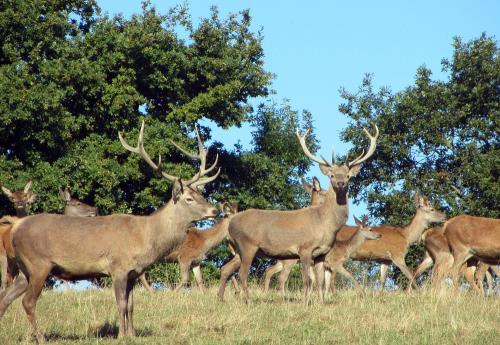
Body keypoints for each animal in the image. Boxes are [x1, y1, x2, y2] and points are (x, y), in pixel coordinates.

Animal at [0, 121, 221, 342]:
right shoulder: (118, 267)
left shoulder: (134, 273)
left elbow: (131, 306)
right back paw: (42, 338)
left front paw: (132, 334)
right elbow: (121, 304)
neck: (145, 238)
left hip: (25, 269)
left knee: (6, 297)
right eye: (189, 199)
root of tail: (15, 228)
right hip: (38, 264)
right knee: (28, 302)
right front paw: (121, 335)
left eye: (200, 194)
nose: (215, 210)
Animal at [217, 122, 376, 302]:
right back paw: (248, 301)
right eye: (332, 175)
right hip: (247, 245)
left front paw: (321, 303)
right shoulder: (305, 249)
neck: (326, 223)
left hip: (240, 250)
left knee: (226, 268)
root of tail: (230, 224)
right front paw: (306, 303)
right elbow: (307, 280)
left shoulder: (321, 254)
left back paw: (220, 298)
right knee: (243, 273)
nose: (341, 183)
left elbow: (320, 282)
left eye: (348, 175)